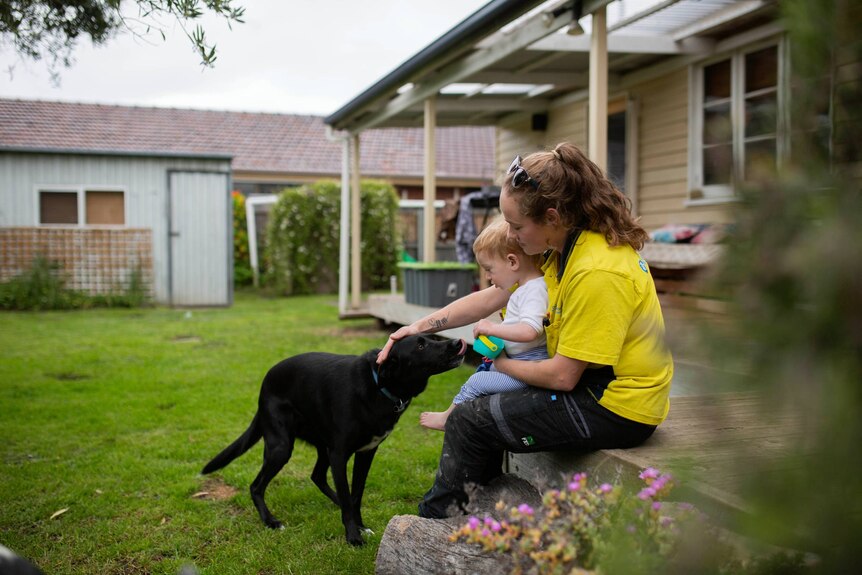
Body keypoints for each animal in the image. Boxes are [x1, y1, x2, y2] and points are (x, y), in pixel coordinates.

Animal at [202, 336, 466, 544]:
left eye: (432, 337)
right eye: (420, 345)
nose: (457, 343)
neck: (378, 385)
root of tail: (265, 384)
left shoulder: (365, 453)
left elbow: (356, 495)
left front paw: (360, 526)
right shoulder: (340, 454)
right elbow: (350, 499)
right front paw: (353, 536)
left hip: (321, 446)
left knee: (317, 476)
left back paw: (335, 501)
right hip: (282, 447)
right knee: (256, 486)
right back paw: (271, 521)